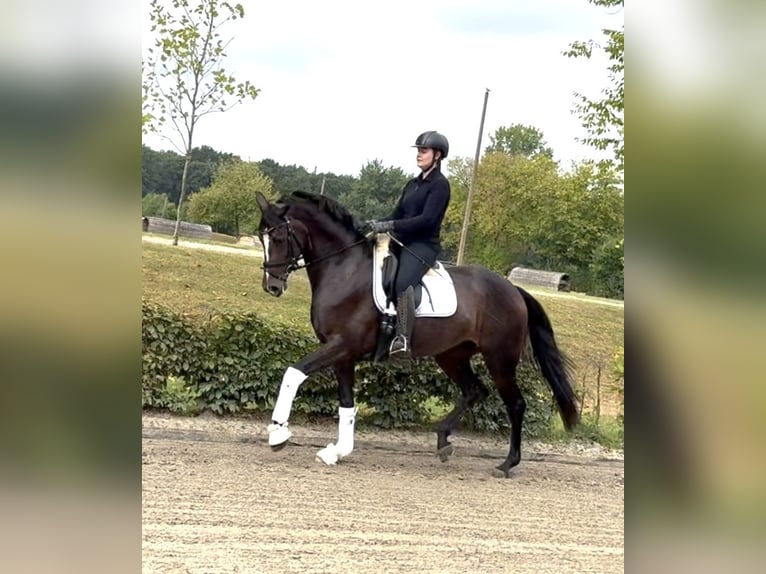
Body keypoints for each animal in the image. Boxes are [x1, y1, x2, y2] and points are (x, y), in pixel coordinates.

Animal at [255, 191, 579, 477]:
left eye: (280, 238)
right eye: (262, 237)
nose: (272, 286)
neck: (343, 269)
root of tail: (512, 289)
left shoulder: (341, 345)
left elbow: (293, 373)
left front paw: (278, 434)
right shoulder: (342, 354)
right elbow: (346, 404)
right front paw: (337, 452)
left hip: (500, 359)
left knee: (516, 404)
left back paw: (507, 463)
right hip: (451, 356)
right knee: (474, 390)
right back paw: (443, 440)